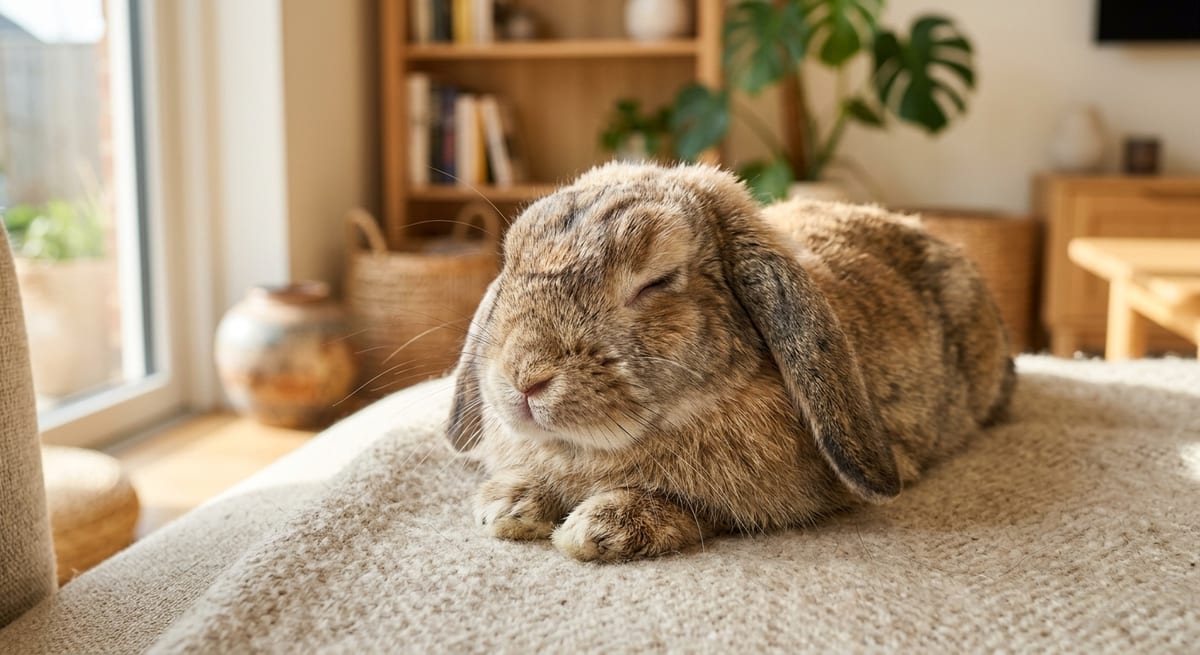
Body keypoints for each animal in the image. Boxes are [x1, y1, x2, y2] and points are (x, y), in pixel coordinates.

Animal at [445, 162, 1015, 562]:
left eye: (657, 281)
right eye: (511, 262)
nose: (524, 379)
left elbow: (707, 510)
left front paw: (599, 528)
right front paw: (507, 504)